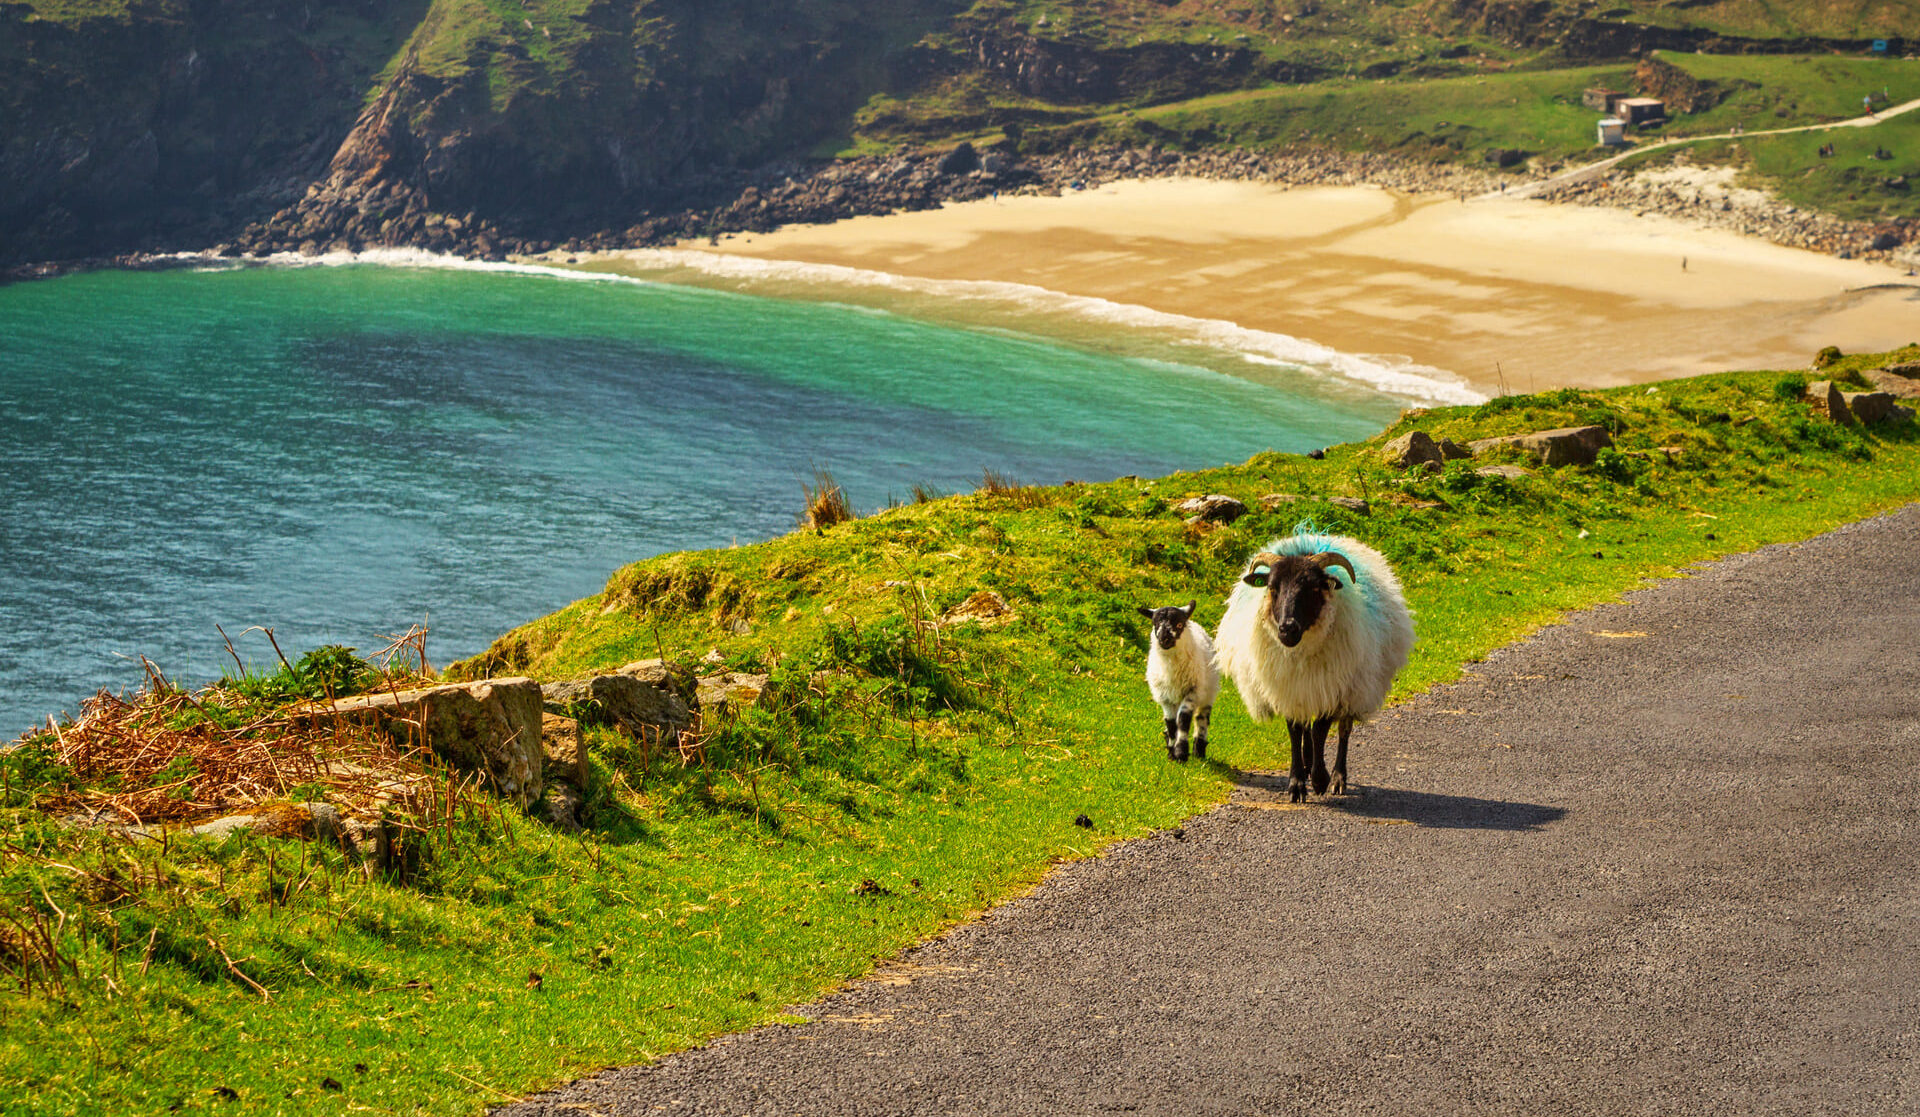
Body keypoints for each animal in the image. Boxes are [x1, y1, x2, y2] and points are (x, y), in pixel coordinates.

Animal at [1137, 600, 1220, 763]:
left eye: (1179, 624)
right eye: (1155, 624)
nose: (1164, 639)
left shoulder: (1192, 691)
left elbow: (1183, 719)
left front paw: (1181, 752)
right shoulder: (1165, 697)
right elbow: (1170, 723)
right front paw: (1172, 752)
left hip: (1207, 692)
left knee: (1201, 719)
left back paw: (1198, 751)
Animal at [1213, 531, 1414, 802]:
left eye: (1313, 588)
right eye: (1272, 587)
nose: (1287, 628)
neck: (1300, 651)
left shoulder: (1334, 687)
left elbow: (1320, 730)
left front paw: (1320, 779)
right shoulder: (1289, 689)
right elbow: (1296, 731)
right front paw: (1297, 782)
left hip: (1355, 686)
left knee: (1343, 731)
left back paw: (1338, 778)